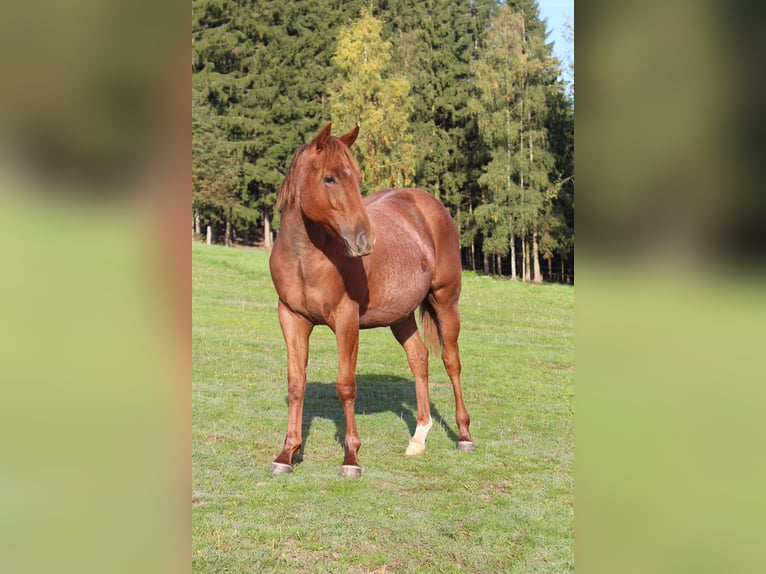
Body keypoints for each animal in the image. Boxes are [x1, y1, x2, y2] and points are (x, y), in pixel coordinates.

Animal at [268, 123, 474, 477]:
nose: (365, 240)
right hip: (400, 316)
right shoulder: (292, 318)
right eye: (330, 178)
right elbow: (296, 383)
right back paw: (418, 438)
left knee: (451, 362)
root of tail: (430, 205)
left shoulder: (346, 320)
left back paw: (464, 436)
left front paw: (351, 458)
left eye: (359, 177)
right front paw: (286, 454)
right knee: (419, 358)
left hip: (446, 302)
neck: (306, 259)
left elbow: (346, 386)